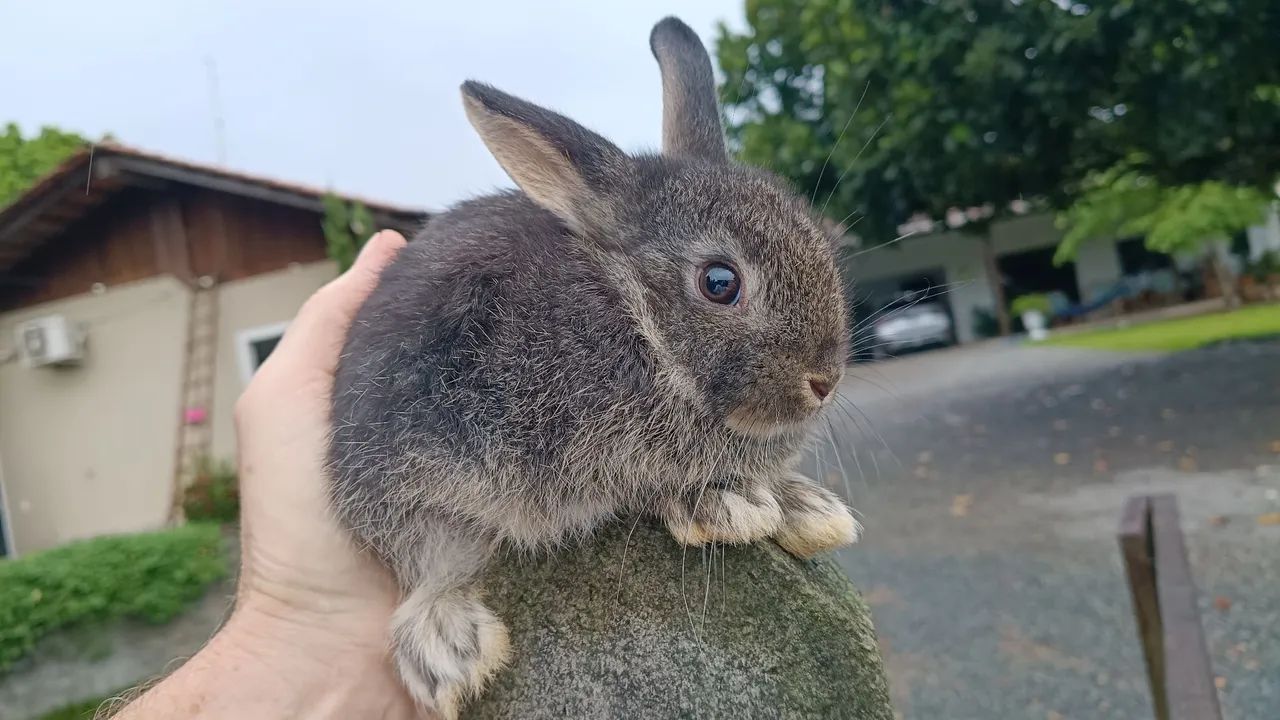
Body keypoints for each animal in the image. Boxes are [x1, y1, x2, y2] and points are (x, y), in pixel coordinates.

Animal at [328, 15, 860, 719]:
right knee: (426, 564)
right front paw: (728, 504)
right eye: (720, 282)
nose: (824, 381)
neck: (636, 319)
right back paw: (449, 649)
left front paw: (800, 504)